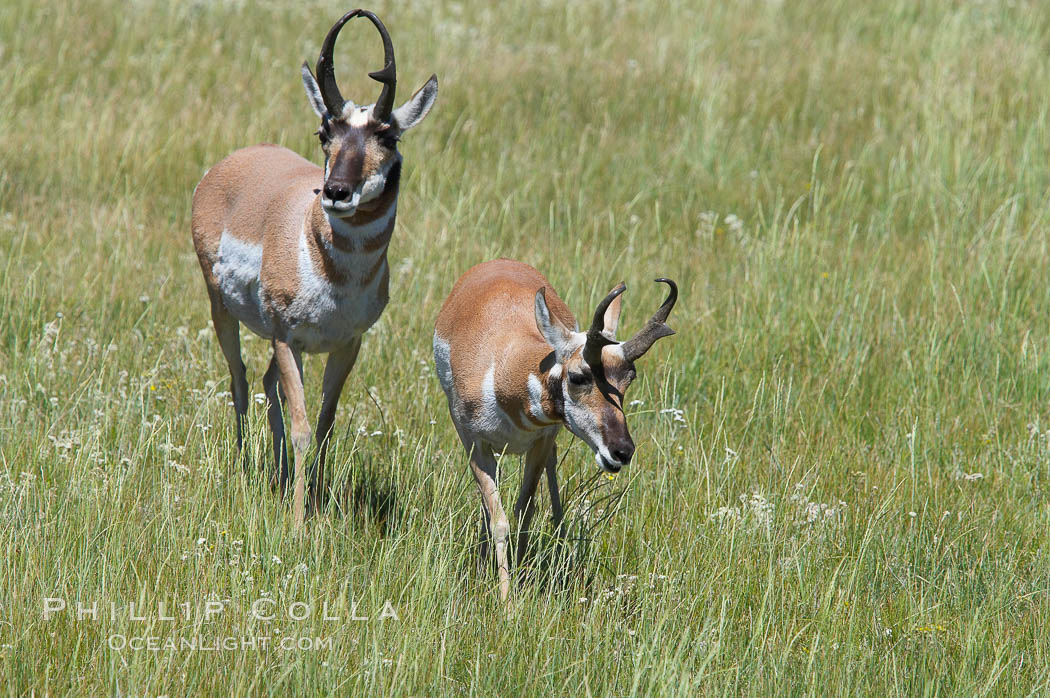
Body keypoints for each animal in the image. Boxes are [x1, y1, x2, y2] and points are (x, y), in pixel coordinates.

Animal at [193, 10, 438, 524]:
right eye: (325, 133)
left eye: (388, 136)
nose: (336, 192)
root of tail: (237, 159)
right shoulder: (290, 340)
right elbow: (303, 427)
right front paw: (299, 522)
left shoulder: (346, 344)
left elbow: (324, 423)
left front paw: (317, 500)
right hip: (222, 309)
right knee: (240, 379)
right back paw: (246, 469)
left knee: (267, 385)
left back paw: (279, 475)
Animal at [434, 258, 680, 596]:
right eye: (578, 376)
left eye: (629, 380)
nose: (622, 451)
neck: (505, 365)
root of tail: (501, 263)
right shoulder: (474, 444)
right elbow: (498, 519)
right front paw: (505, 598)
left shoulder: (540, 442)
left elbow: (525, 511)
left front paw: (521, 578)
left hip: (551, 443)